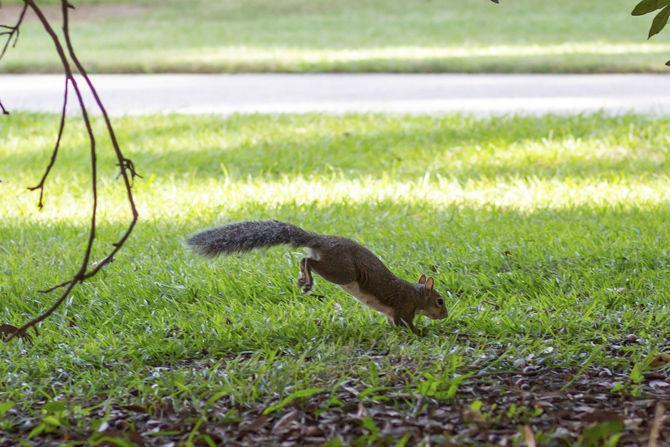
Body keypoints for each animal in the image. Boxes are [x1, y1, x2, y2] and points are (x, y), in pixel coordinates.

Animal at [186, 220, 448, 332]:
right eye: (440, 301)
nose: (445, 315)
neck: (416, 295)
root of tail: (321, 241)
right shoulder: (404, 307)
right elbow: (406, 323)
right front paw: (420, 332)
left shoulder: (393, 313)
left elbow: (393, 323)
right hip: (342, 271)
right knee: (308, 261)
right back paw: (307, 279)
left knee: (305, 259)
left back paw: (303, 278)